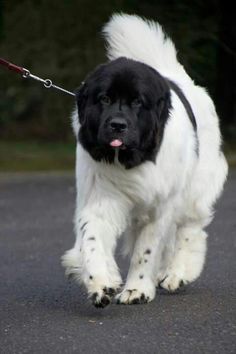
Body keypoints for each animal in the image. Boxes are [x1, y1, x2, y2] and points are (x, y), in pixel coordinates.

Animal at [61, 13, 228, 306]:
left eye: (137, 102)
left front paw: (136, 289)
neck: (129, 159)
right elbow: (92, 238)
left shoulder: (160, 206)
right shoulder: (99, 197)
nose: (117, 125)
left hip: (194, 189)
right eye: (104, 99)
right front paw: (100, 282)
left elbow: (146, 250)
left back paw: (177, 273)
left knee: (190, 229)